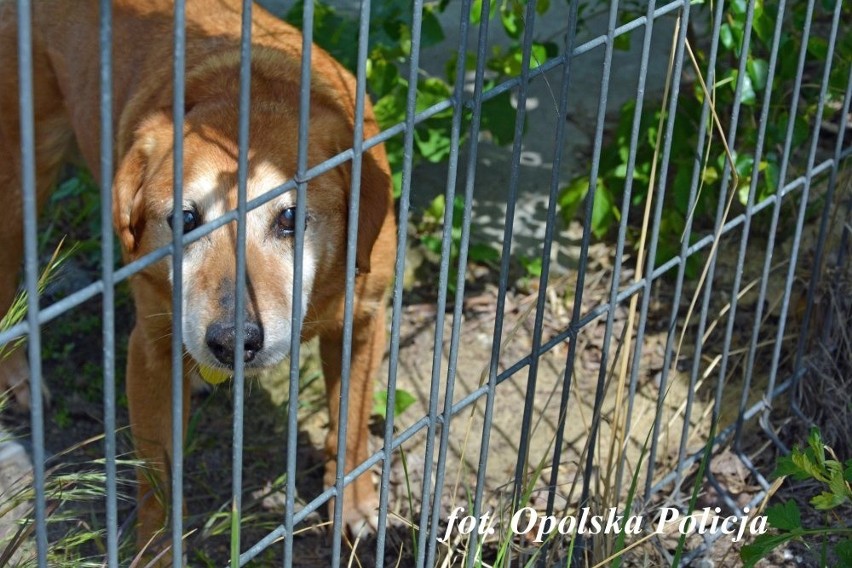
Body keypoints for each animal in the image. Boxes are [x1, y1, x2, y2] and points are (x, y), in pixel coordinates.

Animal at [0, 0, 394, 556]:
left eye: (291, 217)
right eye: (185, 219)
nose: (232, 342)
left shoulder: (363, 321)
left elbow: (353, 426)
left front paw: (354, 504)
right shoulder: (149, 352)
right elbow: (159, 485)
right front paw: (156, 554)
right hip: (18, 190)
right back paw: (19, 376)